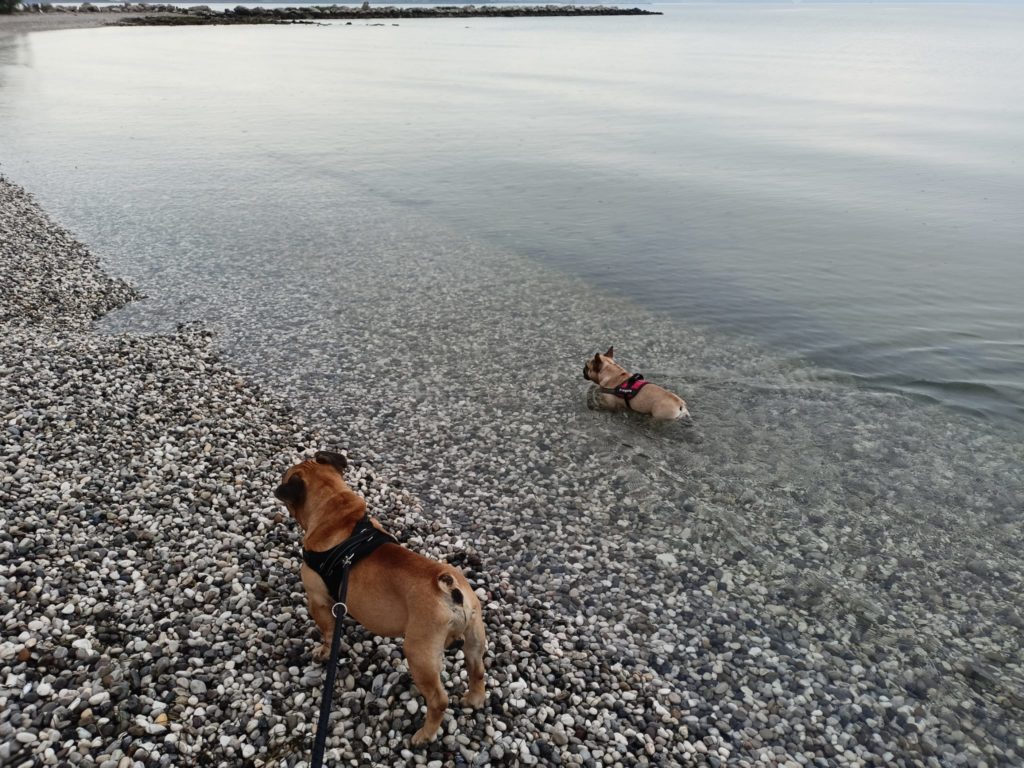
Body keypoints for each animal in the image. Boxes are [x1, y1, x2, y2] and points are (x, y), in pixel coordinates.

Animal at [268, 450, 483, 745]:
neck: (337, 514)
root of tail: (450, 588)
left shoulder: (318, 601)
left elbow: (327, 632)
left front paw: (324, 652)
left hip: (420, 653)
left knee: (439, 700)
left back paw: (424, 735)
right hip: (474, 636)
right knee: (478, 670)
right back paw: (474, 699)